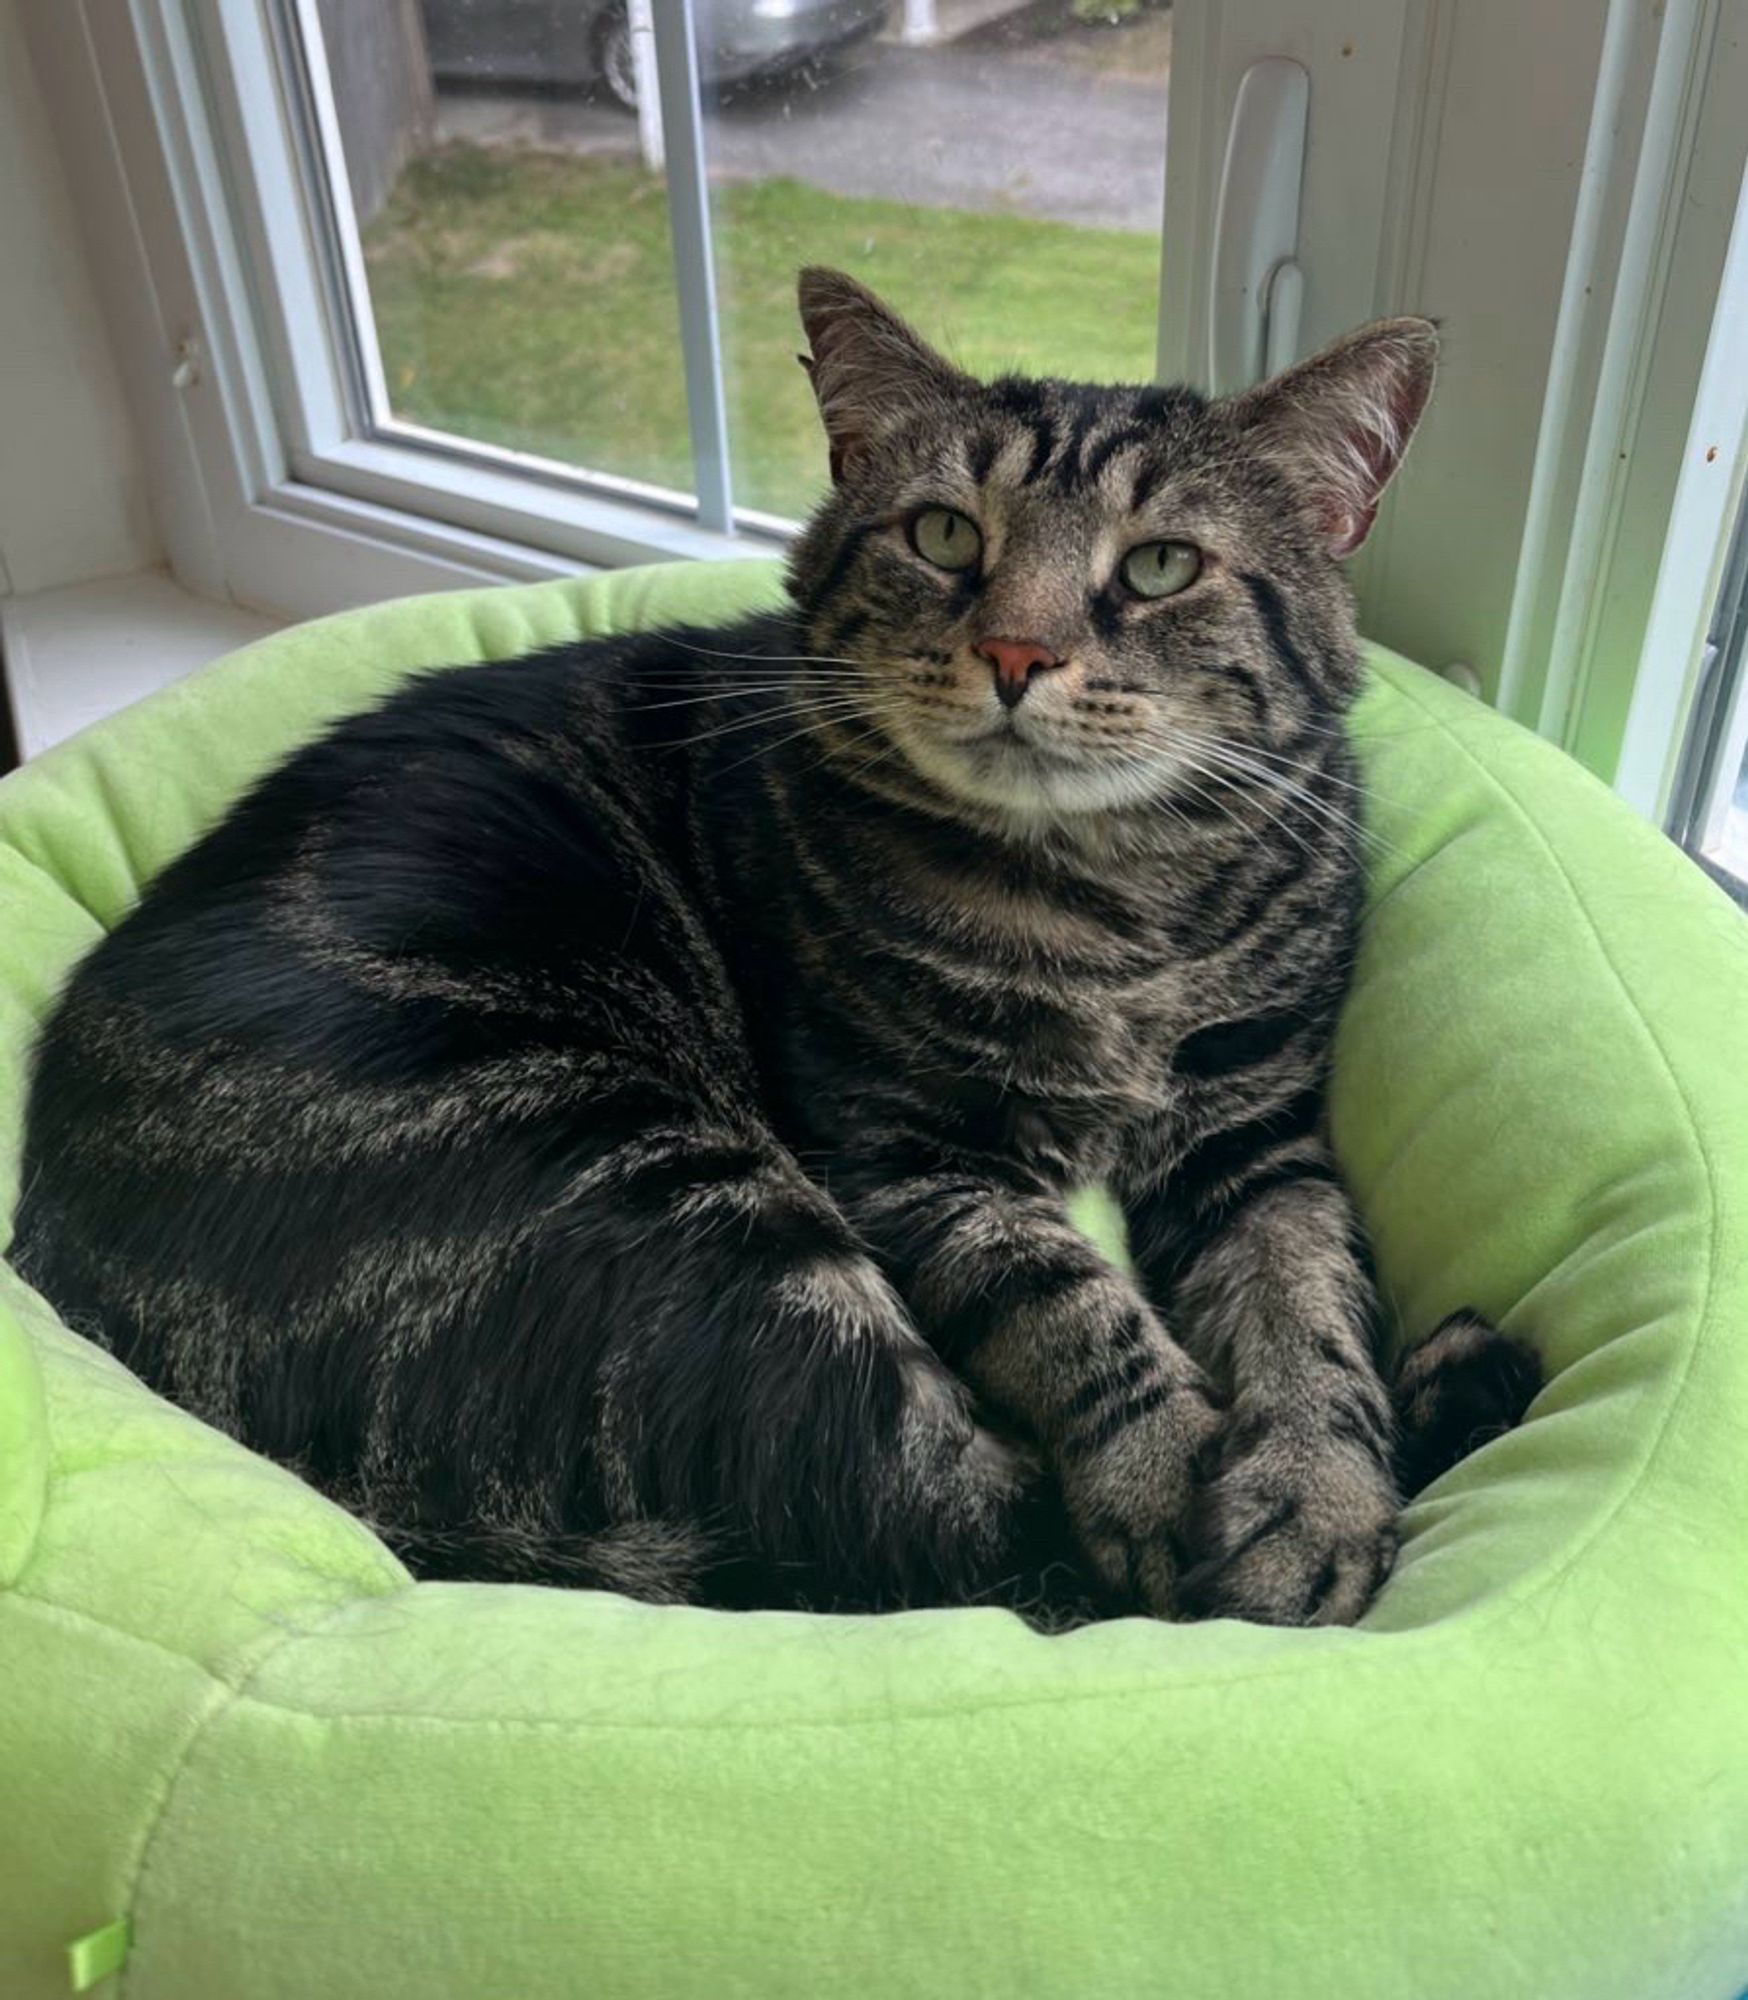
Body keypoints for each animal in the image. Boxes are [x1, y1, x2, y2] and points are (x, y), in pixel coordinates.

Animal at [13, 266, 1536, 1624]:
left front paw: (1316, 1496)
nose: (1017, 655)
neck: (1105, 906)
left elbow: (1310, 1305)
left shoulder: (1256, 1135)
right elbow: (1074, 1311)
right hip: (678, 1197)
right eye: (942, 536)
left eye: (1162, 566)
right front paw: (1167, 1477)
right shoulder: (908, 1156)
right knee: (953, 1535)